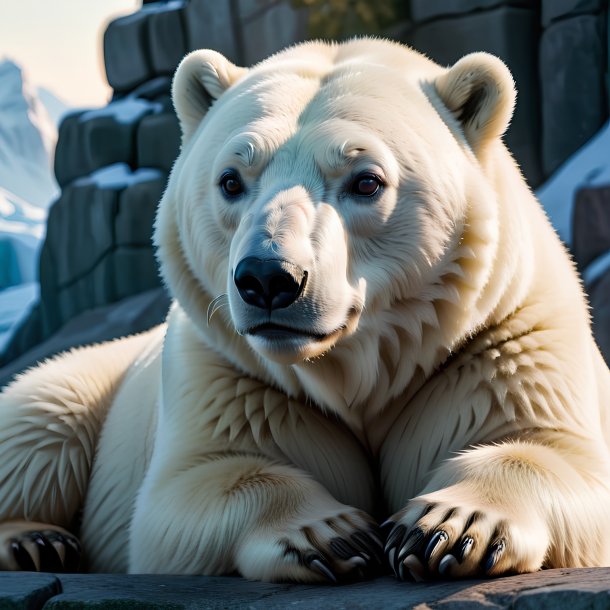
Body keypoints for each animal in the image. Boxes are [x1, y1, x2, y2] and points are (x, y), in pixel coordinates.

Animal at [1, 38, 608, 580]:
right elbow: (191, 487)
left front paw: (449, 529)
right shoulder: (229, 370)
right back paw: (35, 541)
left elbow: (548, 450)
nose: (268, 279)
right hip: (96, 379)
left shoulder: (501, 339)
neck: (356, 368)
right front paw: (330, 534)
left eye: (367, 181)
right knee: (42, 419)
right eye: (231, 179)